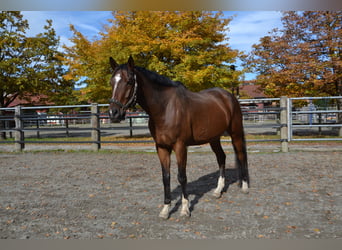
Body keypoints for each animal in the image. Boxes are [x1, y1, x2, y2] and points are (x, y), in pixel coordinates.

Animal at [108, 55, 250, 219]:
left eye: (130, 81)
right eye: (112, 82)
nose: (114, 113)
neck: (165, 108)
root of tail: (229, 96)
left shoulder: (180, 146)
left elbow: (182, 176)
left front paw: (185, 209)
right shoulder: (162, 147)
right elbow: (166, 177)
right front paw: (165, 209)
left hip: (236, 134)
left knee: (241, 155)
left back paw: (245, 187)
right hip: (213, 138)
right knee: (221, 157)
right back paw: (218, 191)